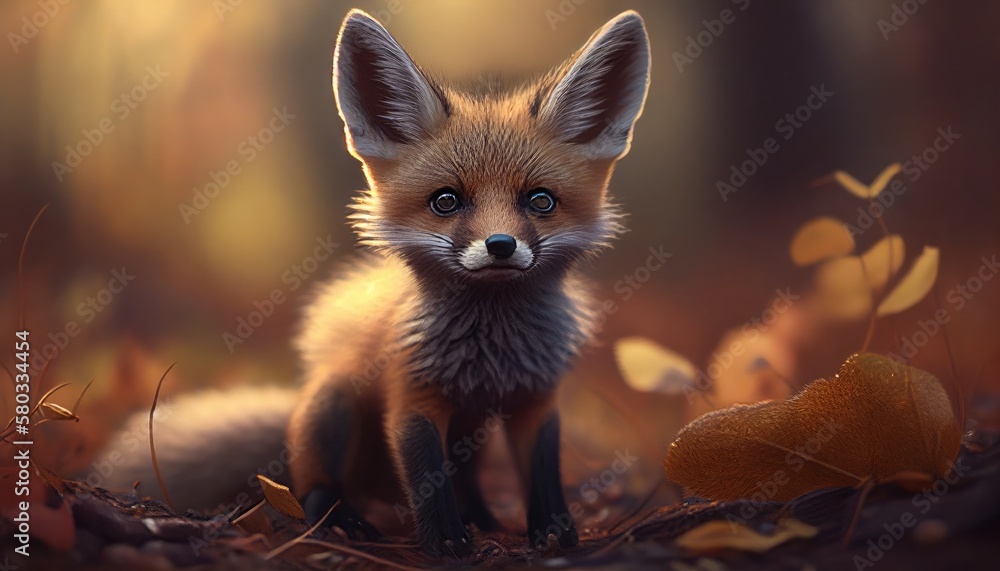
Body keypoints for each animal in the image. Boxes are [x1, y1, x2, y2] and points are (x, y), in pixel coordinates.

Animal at [92, 9, 650, 558]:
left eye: (540, 201)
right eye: (446, 201)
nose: (500, 246)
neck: (490, 353)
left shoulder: (536, 398)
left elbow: (543, 473)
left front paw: (554, 533)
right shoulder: (412, 398)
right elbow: (427, 477)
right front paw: (445, 542)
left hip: (473, 434)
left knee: (465, 480)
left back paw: (482, 519)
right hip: (335, 404)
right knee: (313, 485)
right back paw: (342, 521)